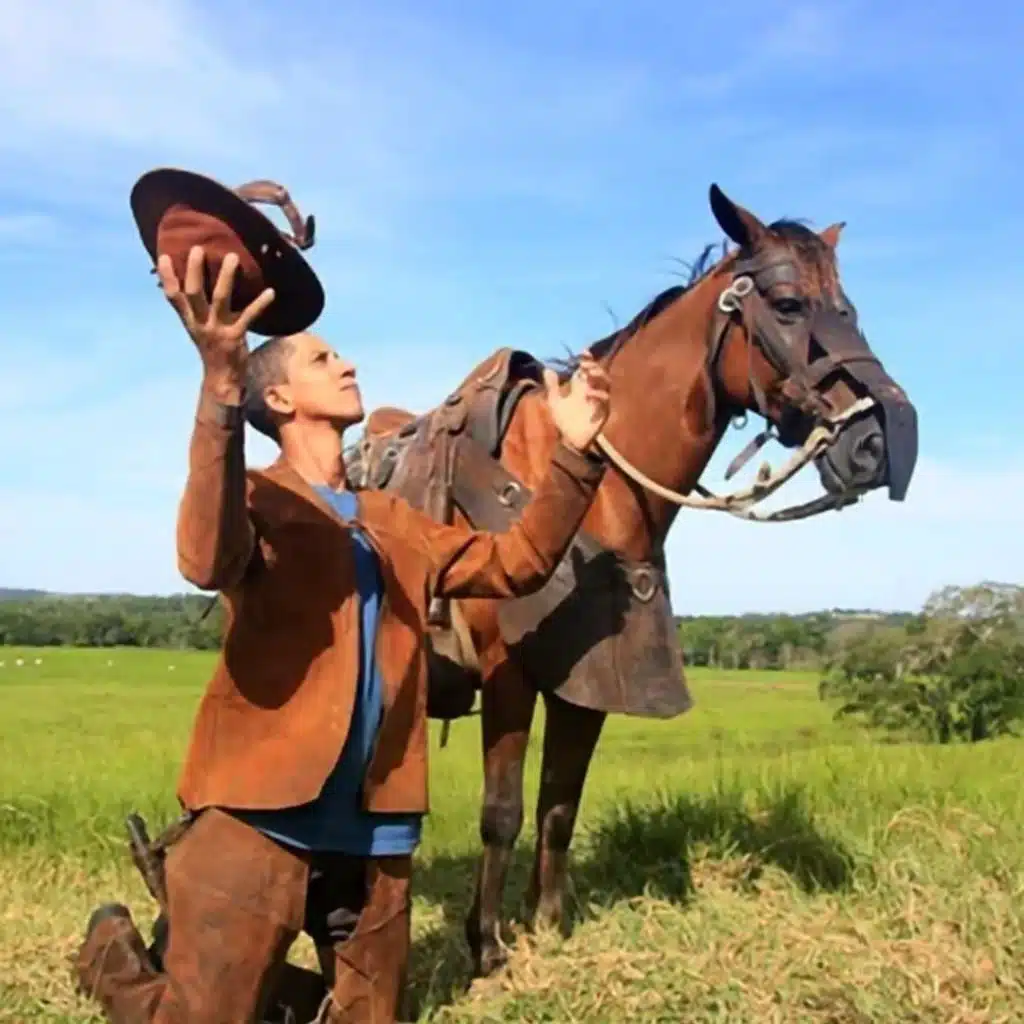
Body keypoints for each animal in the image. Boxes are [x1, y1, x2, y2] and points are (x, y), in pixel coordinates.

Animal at [345, 182, 918, 978]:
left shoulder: (588, 683)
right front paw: (487, 946)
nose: (874, 446)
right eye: (788, 304)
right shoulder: (509, 675)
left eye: (849, 309)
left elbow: (558, 805)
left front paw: (549, 926)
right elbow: (502, 812)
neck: (590, 481)